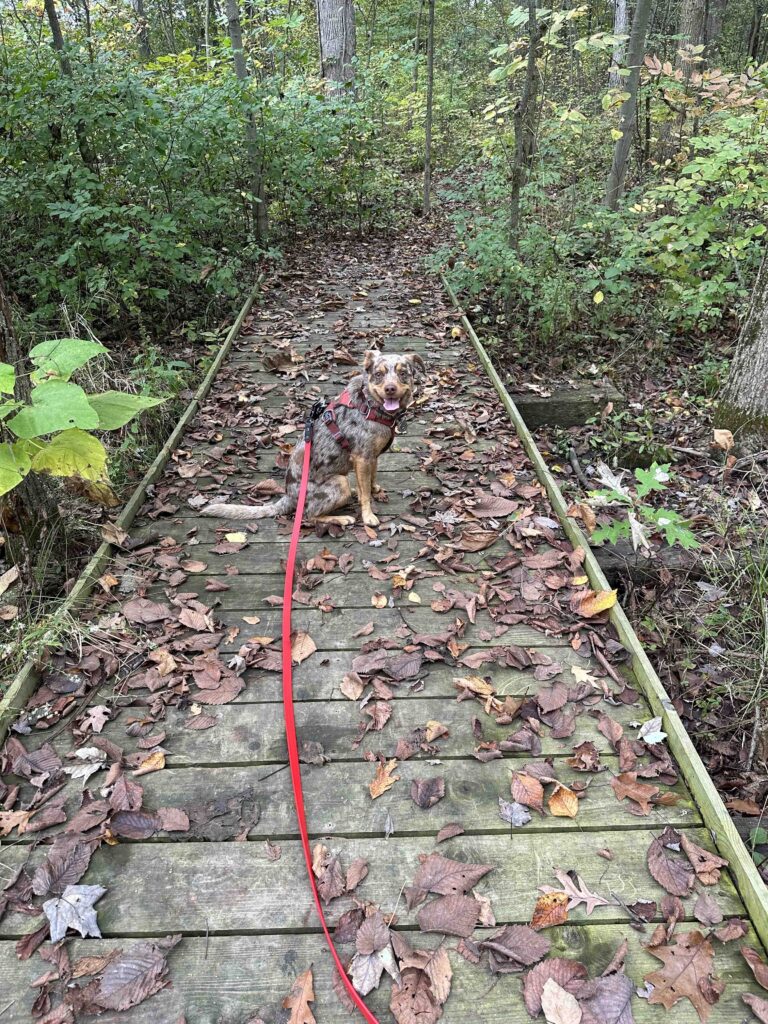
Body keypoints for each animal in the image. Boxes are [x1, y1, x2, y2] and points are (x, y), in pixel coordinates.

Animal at [202, 352, 428, 528]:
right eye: (378, 374)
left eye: (403, 373)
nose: (390, 388)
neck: (372, 406)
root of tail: (288, 496)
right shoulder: (362, 458)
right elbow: (365, 495)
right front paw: (368, 515)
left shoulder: (371, 457)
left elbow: (371, 479)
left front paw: (374, 489)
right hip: (339, 483)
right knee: (309, 516)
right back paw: (341, 518)